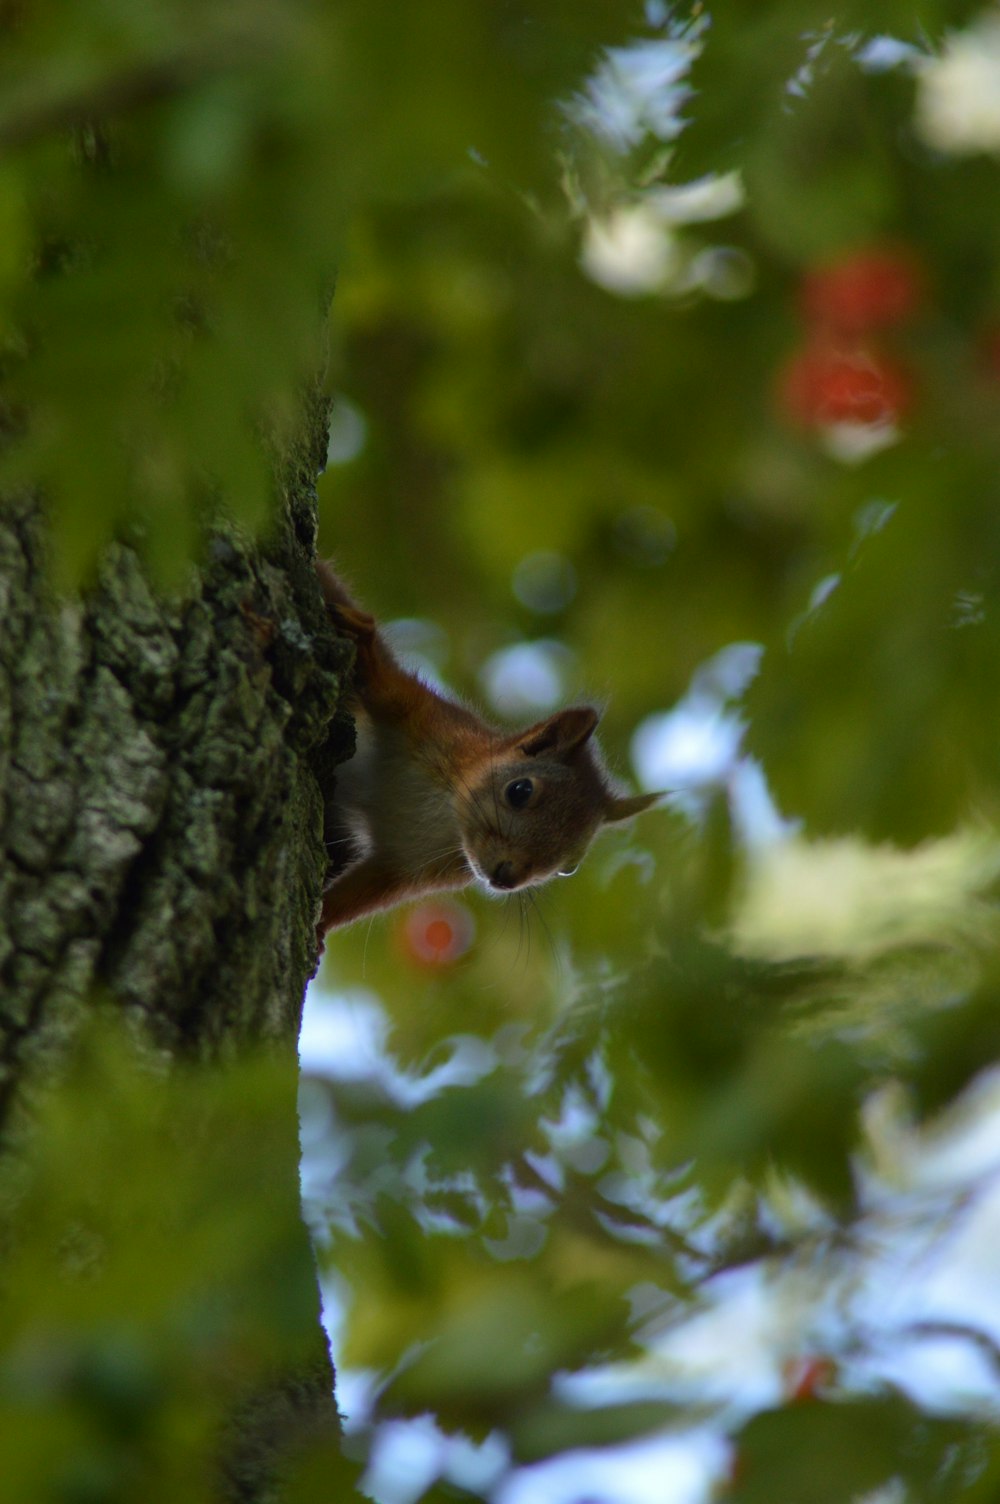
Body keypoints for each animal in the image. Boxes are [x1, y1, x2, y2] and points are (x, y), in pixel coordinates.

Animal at [315, 562, 658, 938]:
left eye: (569, 866)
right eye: (520, 791)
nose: (507, 877)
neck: (447, 814)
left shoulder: (403, 866)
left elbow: (359, 894)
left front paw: (320, 923)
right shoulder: (426, 719)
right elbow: (387, 685)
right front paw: (365, 642)